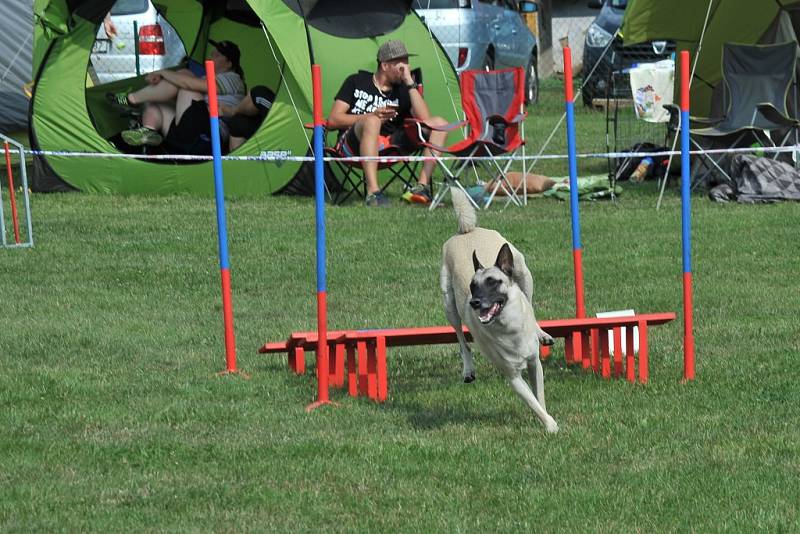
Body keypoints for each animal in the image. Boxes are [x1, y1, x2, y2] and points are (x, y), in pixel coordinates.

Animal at [440, 189, 560, 436]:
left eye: (493, 282)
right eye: (472, 286)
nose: (474, 303)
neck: (508, 325)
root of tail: (467, 231)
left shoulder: (534, 363)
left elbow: (539, 396)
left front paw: (547, 422)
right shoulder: (512, 375)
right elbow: (532, 401)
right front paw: (550, 425)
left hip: (525, 274)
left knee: (530, 303)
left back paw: (541, 333)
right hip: (448, 303)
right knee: (461, 339)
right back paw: (468, 369)